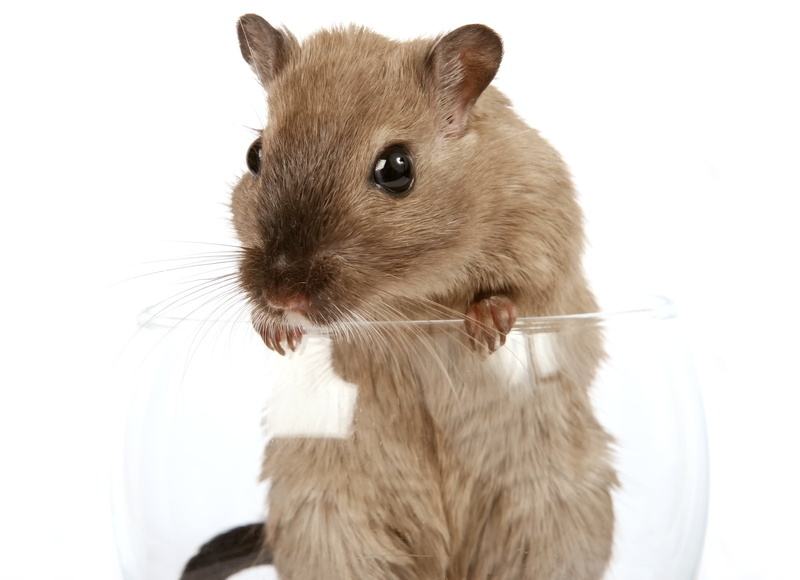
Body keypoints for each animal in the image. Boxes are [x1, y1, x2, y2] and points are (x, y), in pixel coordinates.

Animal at [181, 14, 616, 580]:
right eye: (255, 156)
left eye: (396, 168)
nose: (282, 294)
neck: (407, 298)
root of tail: (446, 559)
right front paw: (276, 331)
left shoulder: (548, 235)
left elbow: (524, 295)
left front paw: (485, 327)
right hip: (329, 520)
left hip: (551, 518)